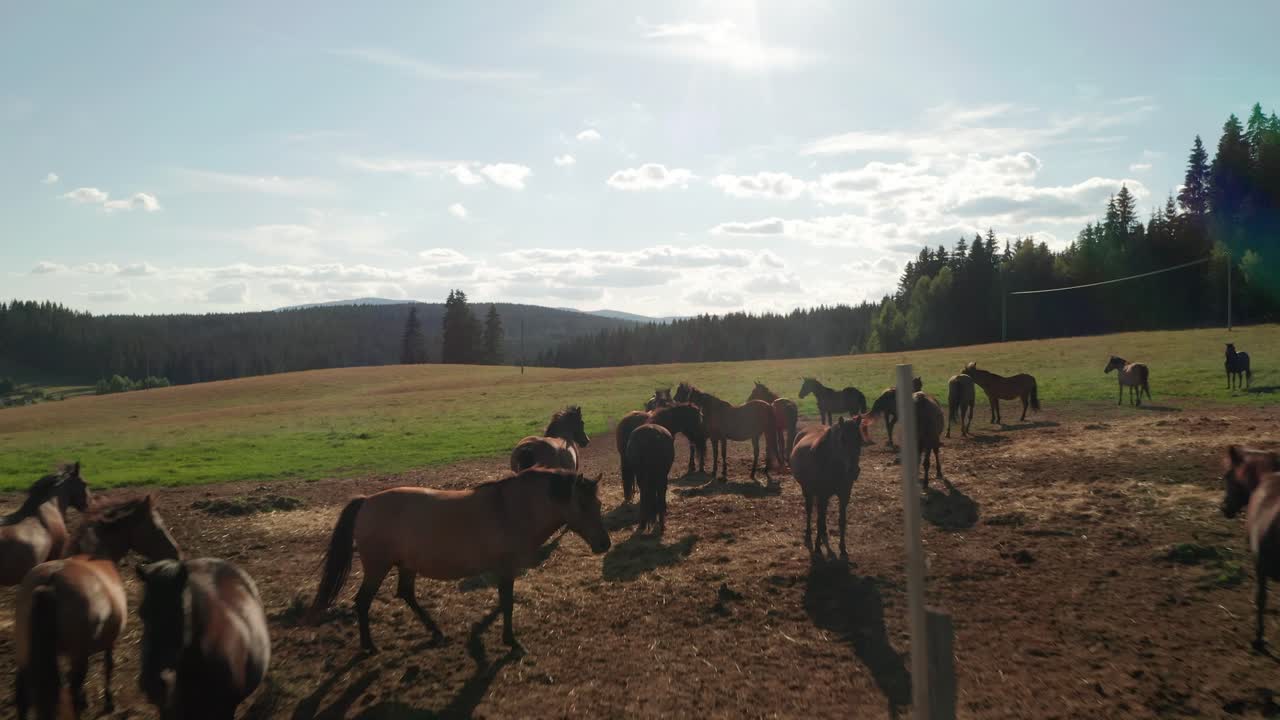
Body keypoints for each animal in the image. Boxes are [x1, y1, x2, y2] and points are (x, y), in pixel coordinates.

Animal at [14, 495, 181, 720]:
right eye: (156, 527)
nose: (176, 553)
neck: (94, 553)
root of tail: (50, 582)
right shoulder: (111, 638)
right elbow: (109, 665)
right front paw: (109, 702)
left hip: (26, 655)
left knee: (23, 696)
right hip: (78, 656)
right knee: (73, 692)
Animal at [308, 467, 610, 653]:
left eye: (598, 504)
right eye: (583, 505)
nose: (604, 543)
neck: (509, 509)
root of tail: (367, 501)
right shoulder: (505, 569)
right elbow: (507, 604)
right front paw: (511, 641)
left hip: (407, 564)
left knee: (406, 593)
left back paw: (436, 632)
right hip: (377, 567)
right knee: (363, 601)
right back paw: (369, 646)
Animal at [789, 416, 866, 560]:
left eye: (859, 438)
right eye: (842, 438)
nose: (853, 471)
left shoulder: (844, 495)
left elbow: (841, 521)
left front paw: (843, 549)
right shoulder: (821, 495)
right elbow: (819, 520)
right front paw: (817, 548)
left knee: (822, 515)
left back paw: (824, 534)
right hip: (807, 490)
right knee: (810, 511)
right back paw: (809, 535)